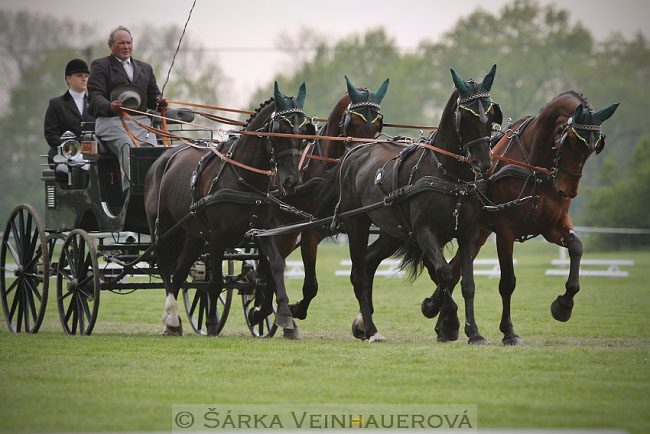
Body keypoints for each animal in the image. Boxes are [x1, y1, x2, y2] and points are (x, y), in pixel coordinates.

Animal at [143, 83, 316, 338]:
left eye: (304, 132)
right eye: (280, 130)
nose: (291, 181)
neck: (244, 178)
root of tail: (163, 158)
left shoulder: (262, 230)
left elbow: (275, 265)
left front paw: (283, 315)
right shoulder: (217, 237)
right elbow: (214, 282)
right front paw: (211, 323)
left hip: (193, 235)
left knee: (180, 271)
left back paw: (172, 323)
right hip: (164, 230)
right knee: (166, 267)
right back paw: (172, 316)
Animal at [274, 76, 390, 324]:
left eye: (377, 126)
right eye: (352, 123)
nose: (365, 156)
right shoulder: (310, 230)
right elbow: (311, 285)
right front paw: (295, 309)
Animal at [314, 65, 502, 342]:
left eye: (489, 116)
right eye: (466, 117)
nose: (484, 163)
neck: (449, 174)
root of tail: (353, 152)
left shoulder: (468, 234)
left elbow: (466, 283)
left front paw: (472, 332)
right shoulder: (425, 233)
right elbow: (443, 272)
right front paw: (435, 311)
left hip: (392, 232)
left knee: (368, 262)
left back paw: (363, 323)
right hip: (357, 224)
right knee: (358, 275)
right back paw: (372, 329)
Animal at [440, 91, 616, 346]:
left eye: (594, 147)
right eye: (569, 141)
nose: (567, 191)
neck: (535, 168)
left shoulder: (552, 226)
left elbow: (577, 247)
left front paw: (564, 305)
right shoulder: (505, 231)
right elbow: (507, 282)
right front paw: (509, 332)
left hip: (479, 234)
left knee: (454, 271)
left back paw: (441, 322)